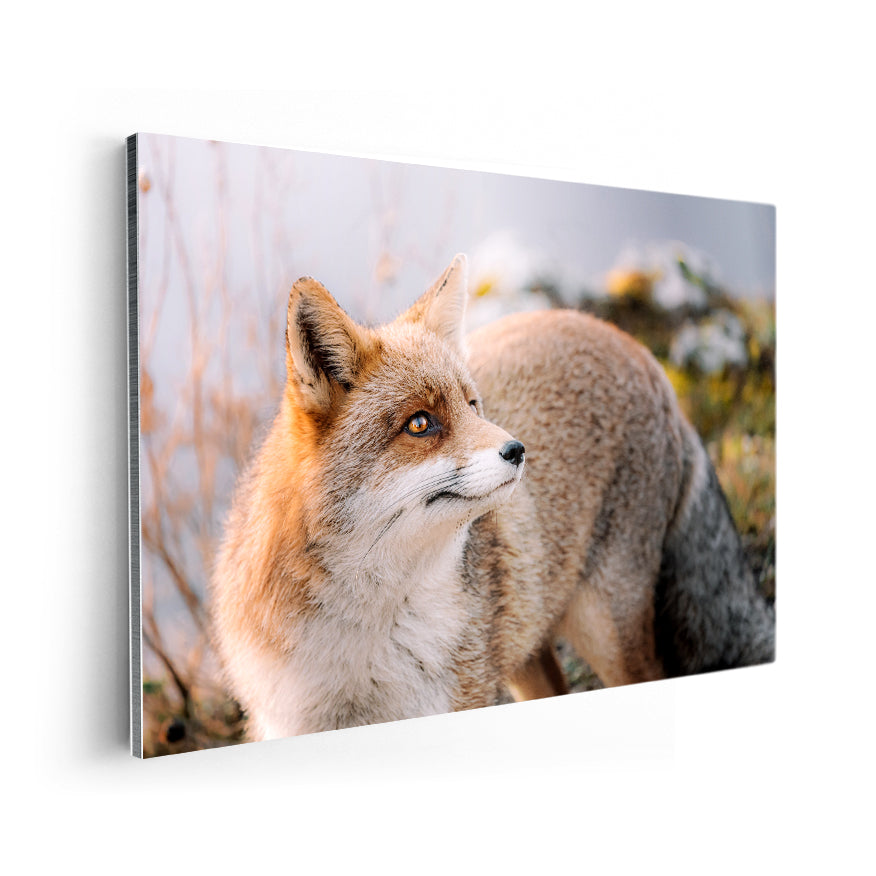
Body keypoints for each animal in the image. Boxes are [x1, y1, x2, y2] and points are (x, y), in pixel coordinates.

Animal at [209, 254, 775, 741]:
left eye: (472, 404)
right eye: (420, 423)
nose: (519, 450)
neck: (360, 644)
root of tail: (633, 346)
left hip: (607, 633)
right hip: (528, 650)